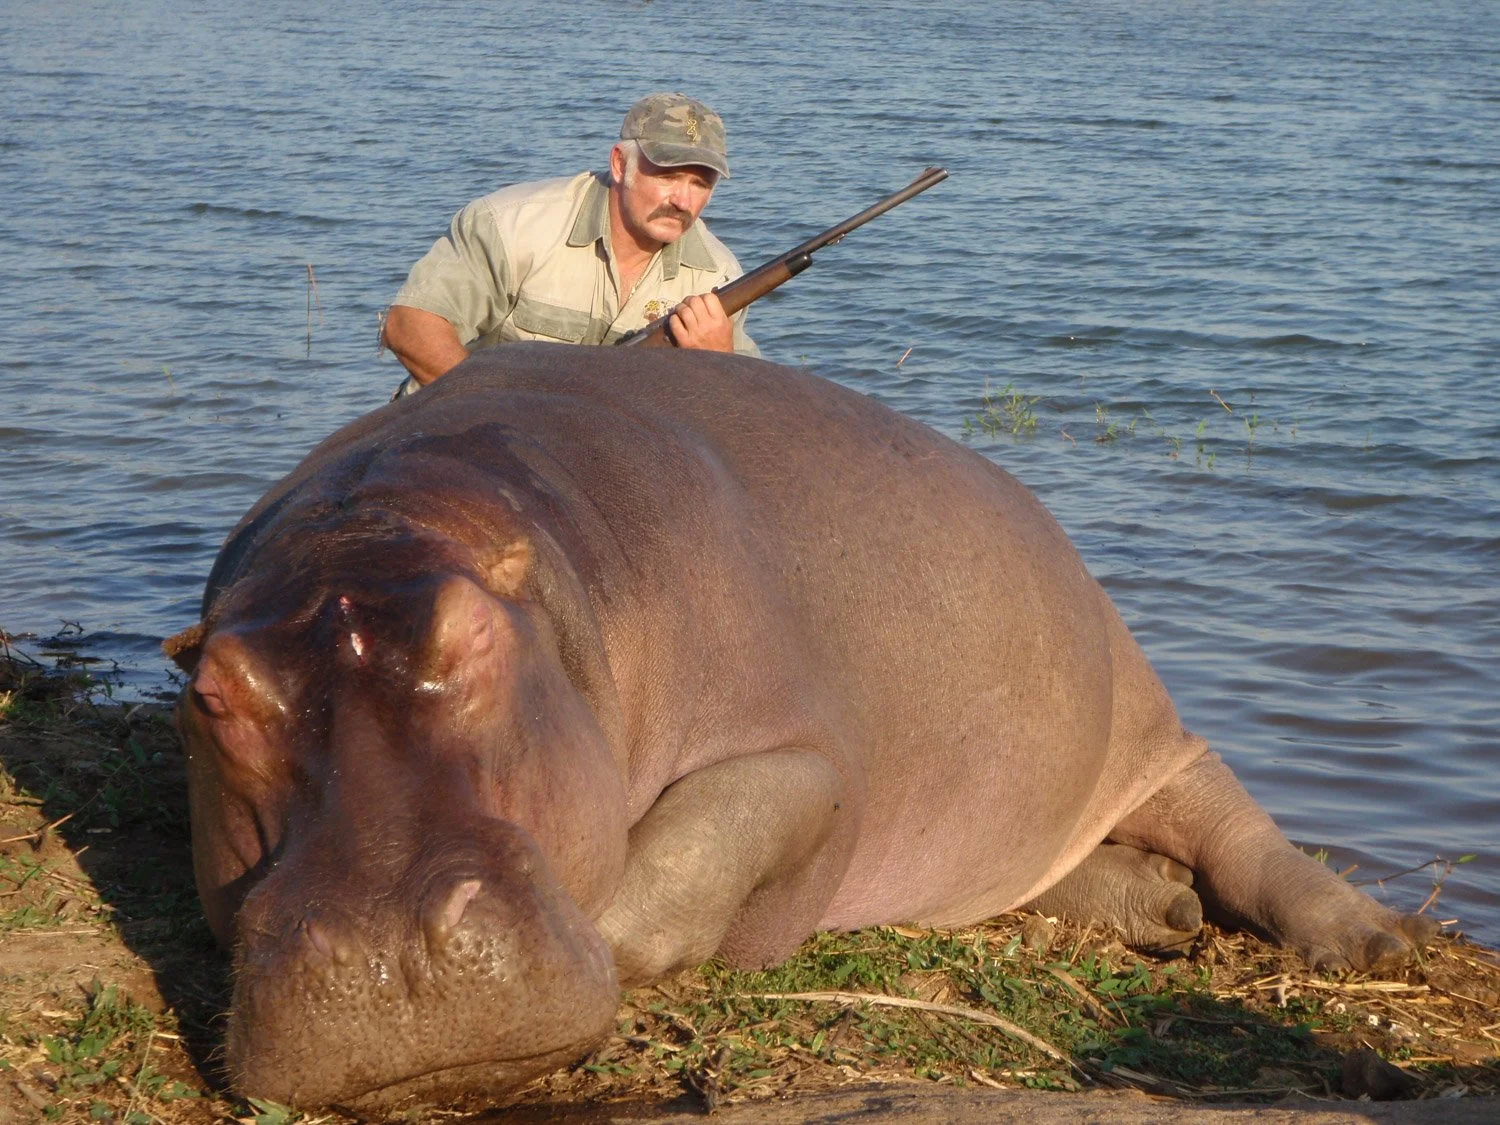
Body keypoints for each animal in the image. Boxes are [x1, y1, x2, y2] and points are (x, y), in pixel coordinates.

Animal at [166, 344, 1435, 1109]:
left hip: (1151, 724)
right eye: (210, 694)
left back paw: (1369, 943)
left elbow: (694, 851)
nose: (382, 951)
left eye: (474, 636)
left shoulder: (809, 758)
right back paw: (1162, 911)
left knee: (1240, 828)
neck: (393, 522)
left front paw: (614, 945)